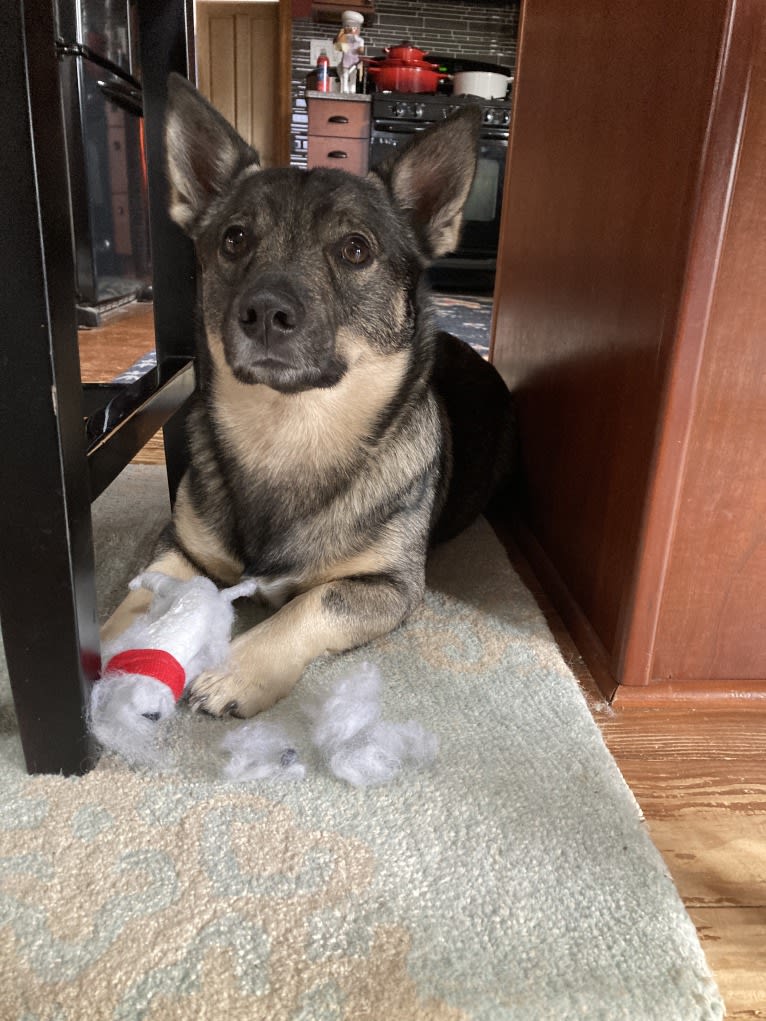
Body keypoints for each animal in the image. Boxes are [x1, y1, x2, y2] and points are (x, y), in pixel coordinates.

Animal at [103, 74, 516, 718]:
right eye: (234, 239)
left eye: (355, 250)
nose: (265, 313)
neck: (288, 429)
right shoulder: (179, 549)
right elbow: (139, 598)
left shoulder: (389, 588)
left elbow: (311, 603)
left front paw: (237, 670)